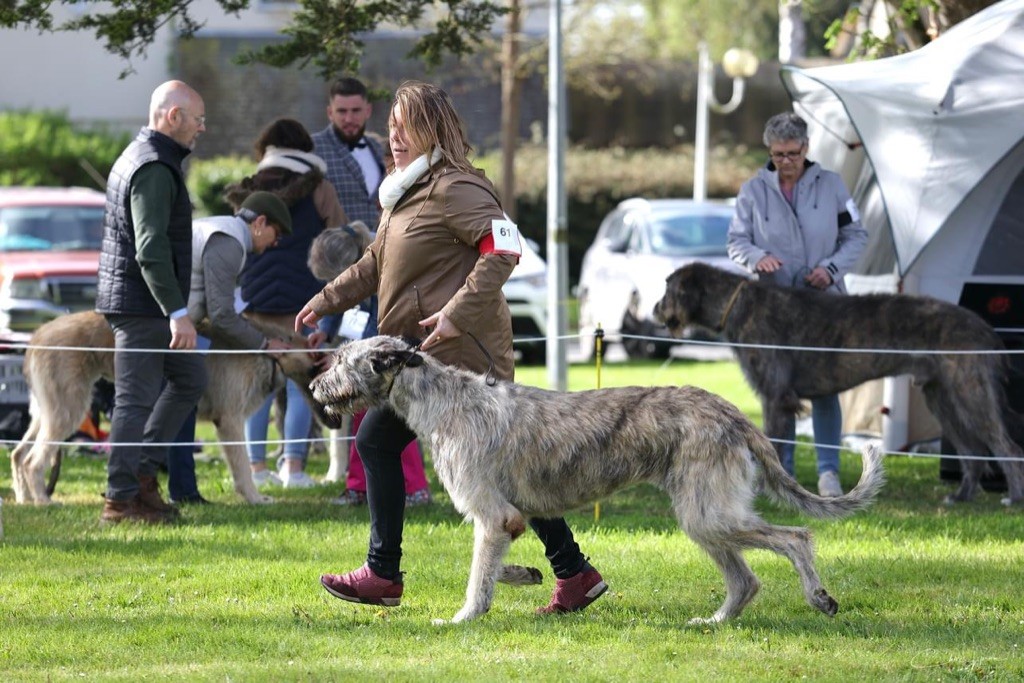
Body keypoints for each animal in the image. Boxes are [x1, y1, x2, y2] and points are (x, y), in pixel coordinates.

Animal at [311, 335, 888, 626]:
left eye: (340, 359)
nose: (315, 385)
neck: (443, 402)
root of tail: (731, 410)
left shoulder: (494, 514)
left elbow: (478, 574)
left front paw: (463, 617)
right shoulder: (509, 518)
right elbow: (492, 563)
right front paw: (521, 575)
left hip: (710, 512)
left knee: (796, 537)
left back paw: (819, 597)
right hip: (704, 516)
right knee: (746, 578)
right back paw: (716, 621)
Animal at [651, 264, 1019, 505]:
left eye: (668, 286)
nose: (654, 309)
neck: (739, 304)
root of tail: (985, 328)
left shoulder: (775, 397)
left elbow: (774, 443)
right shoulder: (780, 399)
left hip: (969, 391)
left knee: (1006, 446)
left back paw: (1013, 498)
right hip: (941, 397)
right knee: (972, 450)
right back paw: (962, 495)